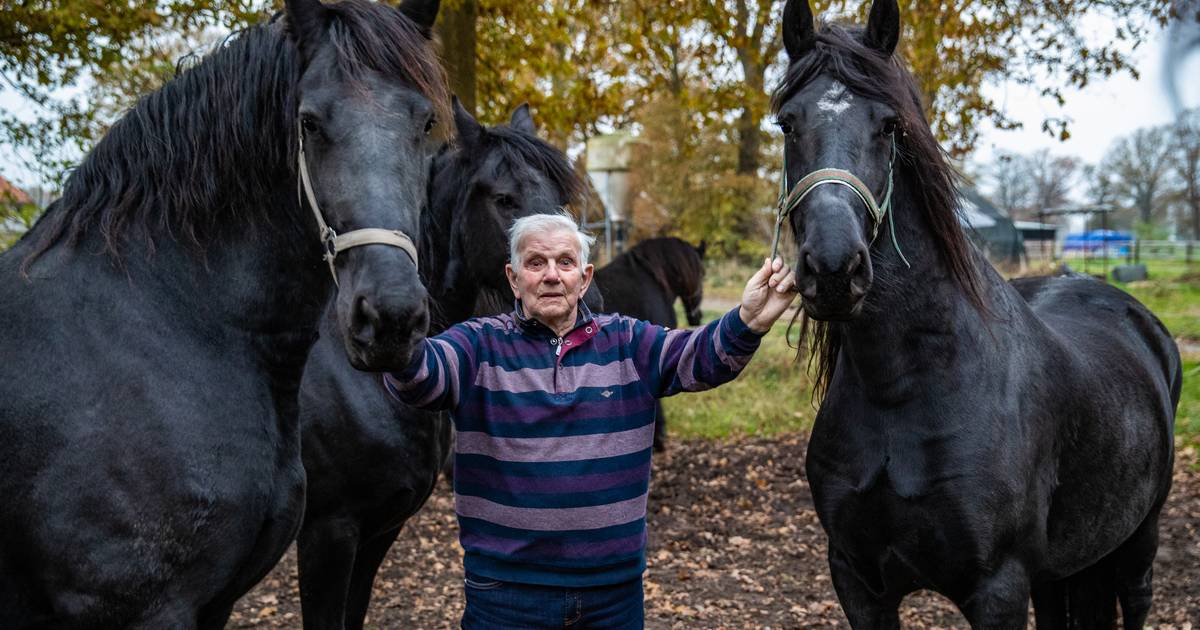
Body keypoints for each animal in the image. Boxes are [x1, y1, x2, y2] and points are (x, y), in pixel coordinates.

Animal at [768, 2, 1180, 624]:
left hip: (1138, 547)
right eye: (788, 123)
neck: (902, 387)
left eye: (889, 125)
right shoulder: (856, 580)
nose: (835, 268)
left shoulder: (997, 588)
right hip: (1060, 570)